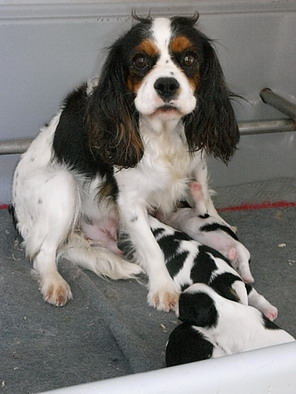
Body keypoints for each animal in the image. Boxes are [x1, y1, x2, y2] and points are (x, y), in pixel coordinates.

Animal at [12, 13, 240, 310]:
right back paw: (54, 283)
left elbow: (205, 197)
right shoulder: (130, 201)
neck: (163, 134)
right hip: (63, 185)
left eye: (189, 58)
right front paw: (164, 289)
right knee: (43, 253)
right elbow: (152, 248)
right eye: (140, 60)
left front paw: (217, 222)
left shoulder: (196, 164)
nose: (166, 85)